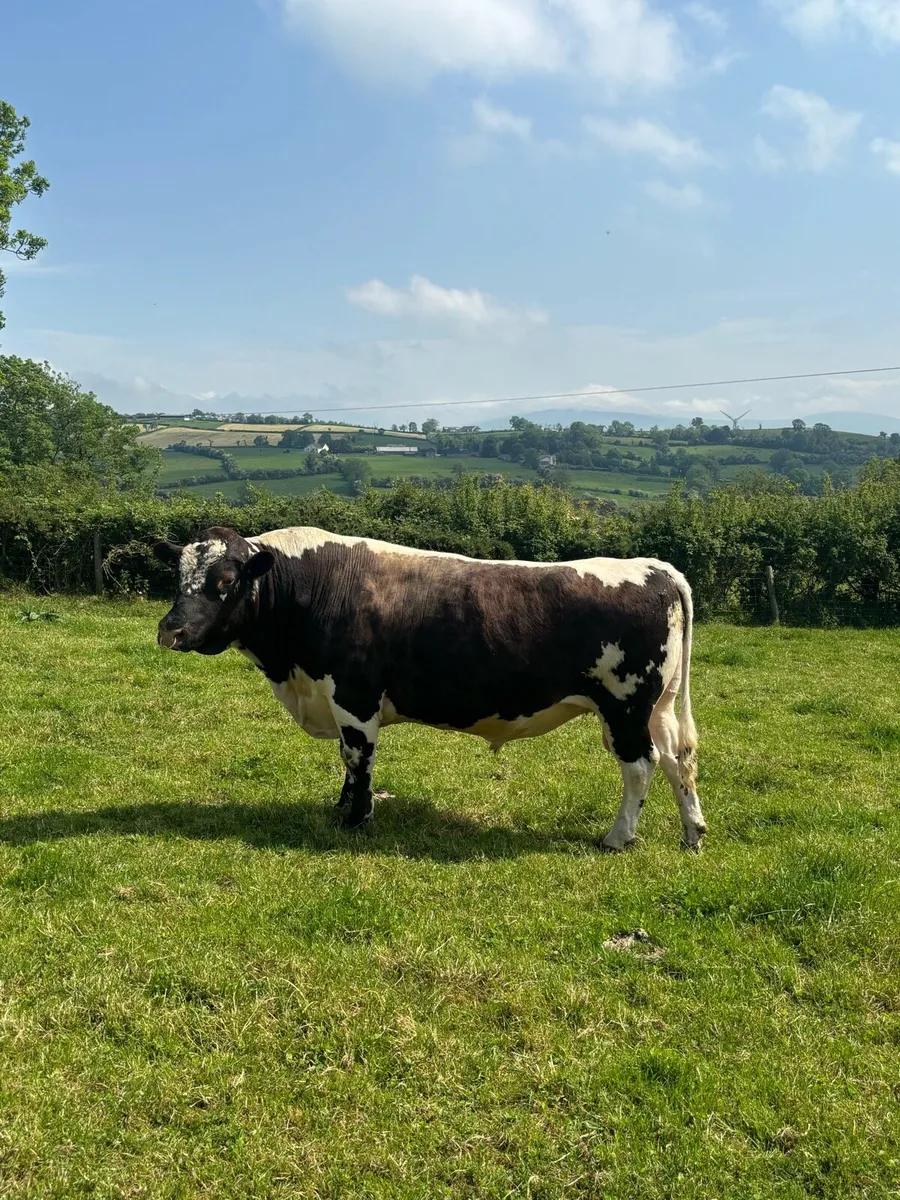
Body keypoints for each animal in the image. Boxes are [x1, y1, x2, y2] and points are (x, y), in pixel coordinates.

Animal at [154, 525, 706, 851]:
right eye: (177, 577)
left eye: (226, 581)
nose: (170, 631)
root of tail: (652, 566)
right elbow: (348, 761)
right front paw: (343, 808)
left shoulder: (353, 696)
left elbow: (356, 757)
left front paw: (355, 819)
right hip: (657, 706)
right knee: (678, 759)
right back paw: (692, 832)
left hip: (625, 705)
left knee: (641, 765)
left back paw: (618, 837)